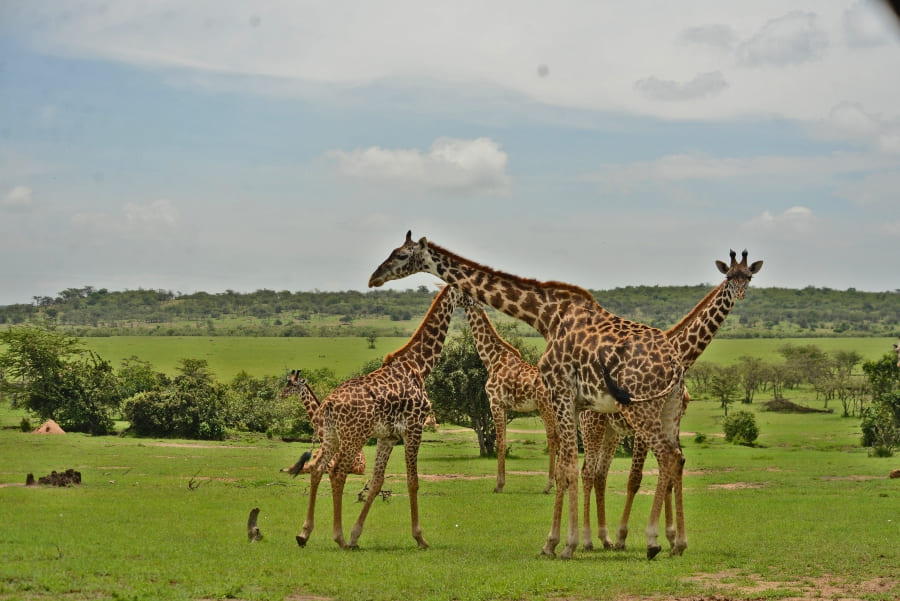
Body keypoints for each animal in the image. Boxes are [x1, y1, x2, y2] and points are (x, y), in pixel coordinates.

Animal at [296, 285, 462, 550]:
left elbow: (377, 481)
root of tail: (328, 404)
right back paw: (339, 538)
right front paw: (420, 537)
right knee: (337, 473)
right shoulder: (414, 428)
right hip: (354, 436)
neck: (419, 366)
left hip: (331, 436)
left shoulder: (388, 436)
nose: (477, 301)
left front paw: (356, 535)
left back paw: (305, 533)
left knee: (317, 469)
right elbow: (413, 481)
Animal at [458, 292, 560, 494]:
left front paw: (498, 485)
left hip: (545, 406)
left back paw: (548, 485)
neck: (492, 359)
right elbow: (503, 440)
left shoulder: (495, 403)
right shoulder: (504, 406)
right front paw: (501, 483)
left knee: (553, 437)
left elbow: (500, 441)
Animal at [581, 249, 762, 551]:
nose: (739, 294)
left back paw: (603, 537)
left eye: (748, 276)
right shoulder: (644, 427)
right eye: (728, 276)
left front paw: (671, 537)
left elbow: (672, 469)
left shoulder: (673, 421)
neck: (681, 356)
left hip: (612, 430)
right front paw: (624, 537)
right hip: (591, 424)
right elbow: (635, 478)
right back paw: (587, 540)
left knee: (599, 474)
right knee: (586, 471)